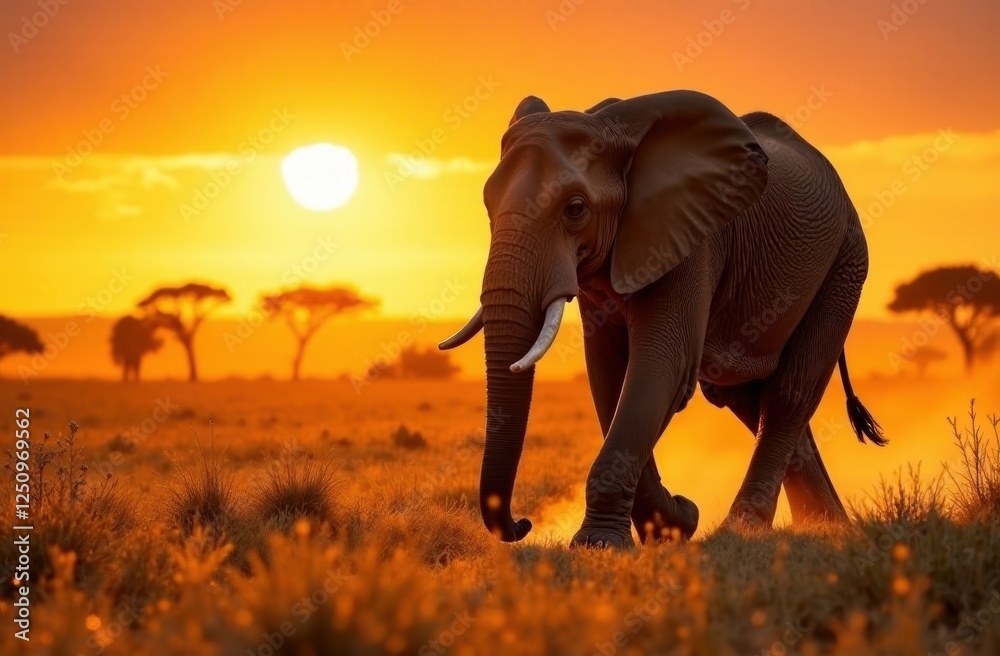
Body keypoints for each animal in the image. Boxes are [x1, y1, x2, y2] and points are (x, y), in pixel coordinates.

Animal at [439, 90, 885, 549]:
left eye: (575, 208)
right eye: (488, 204)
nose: (523, 524)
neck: (609, 128)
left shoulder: (692, 237)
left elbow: (663, 367)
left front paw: (602, 545)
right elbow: (609, 376)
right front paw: (675, 524)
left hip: (846, 263)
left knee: (788, 395)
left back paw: (744, 528)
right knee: (745, 396)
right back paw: (827, 525)